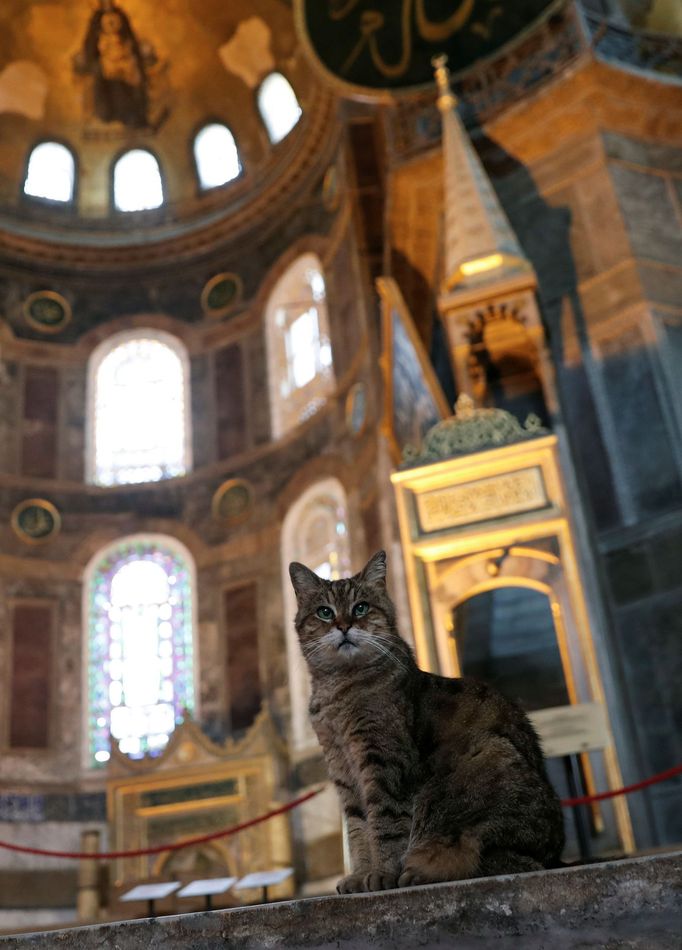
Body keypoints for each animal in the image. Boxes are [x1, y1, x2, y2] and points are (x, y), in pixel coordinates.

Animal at [288, 552, 564, 892]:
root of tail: (556, 854)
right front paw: (359, 875)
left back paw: (420, 870)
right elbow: (357, 829)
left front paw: (382, 874)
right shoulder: (342, 770)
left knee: (494, 858)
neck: (338, 690)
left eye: (361, 607)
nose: (343, 626)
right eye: (325, 612)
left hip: (486, 764)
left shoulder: (385, 761)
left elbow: (385, 823)